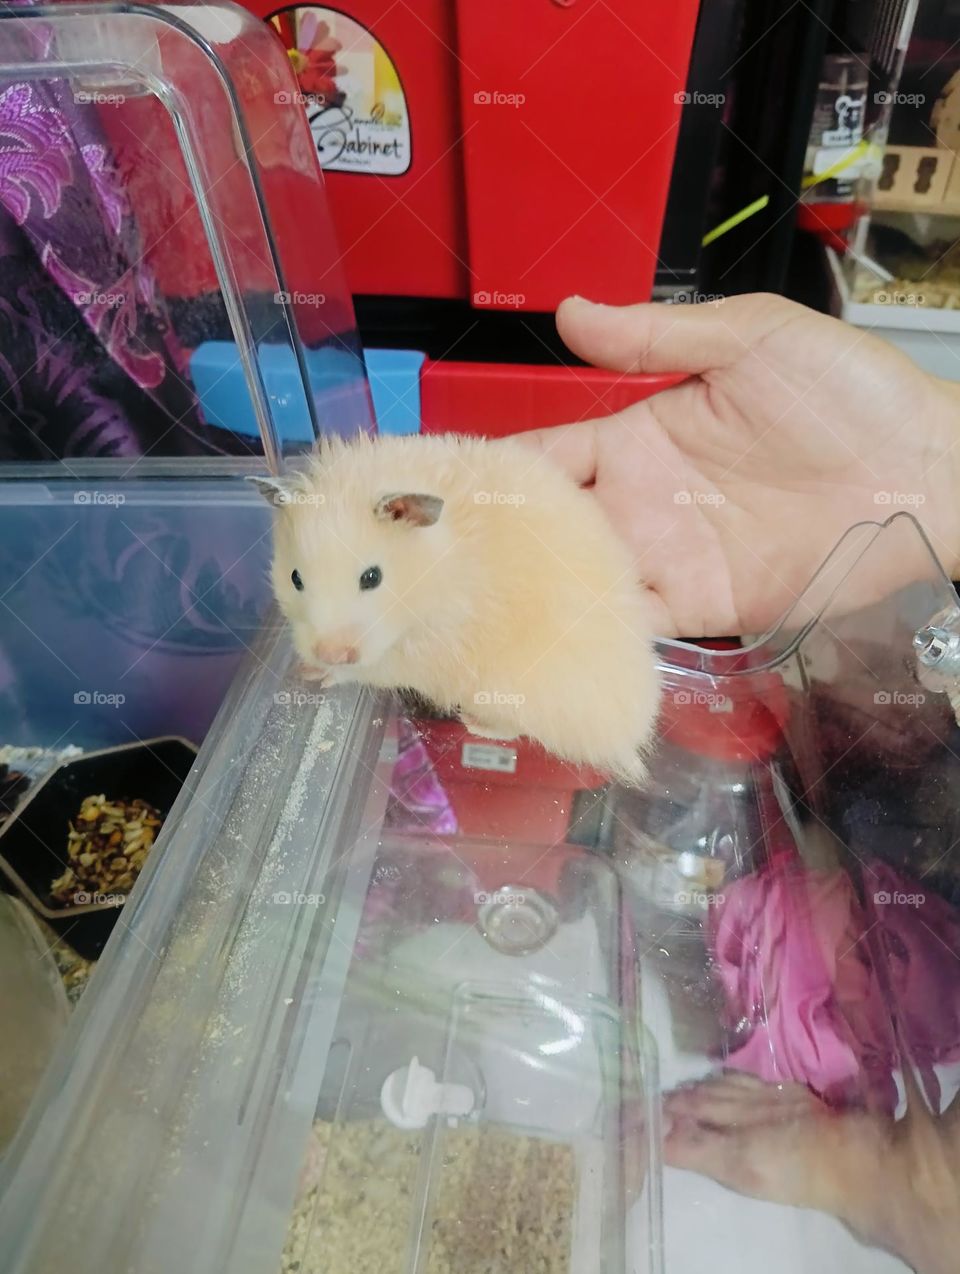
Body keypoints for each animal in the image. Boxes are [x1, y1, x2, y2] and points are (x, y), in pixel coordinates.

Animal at [249, 431, 659, 785]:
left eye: (372, 577)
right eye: (295, 578)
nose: (331, 652)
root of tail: (629, 737)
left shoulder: (427, 652)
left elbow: (373, 669)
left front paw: (322, 674)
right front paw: (307, 668)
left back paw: (472, 722)